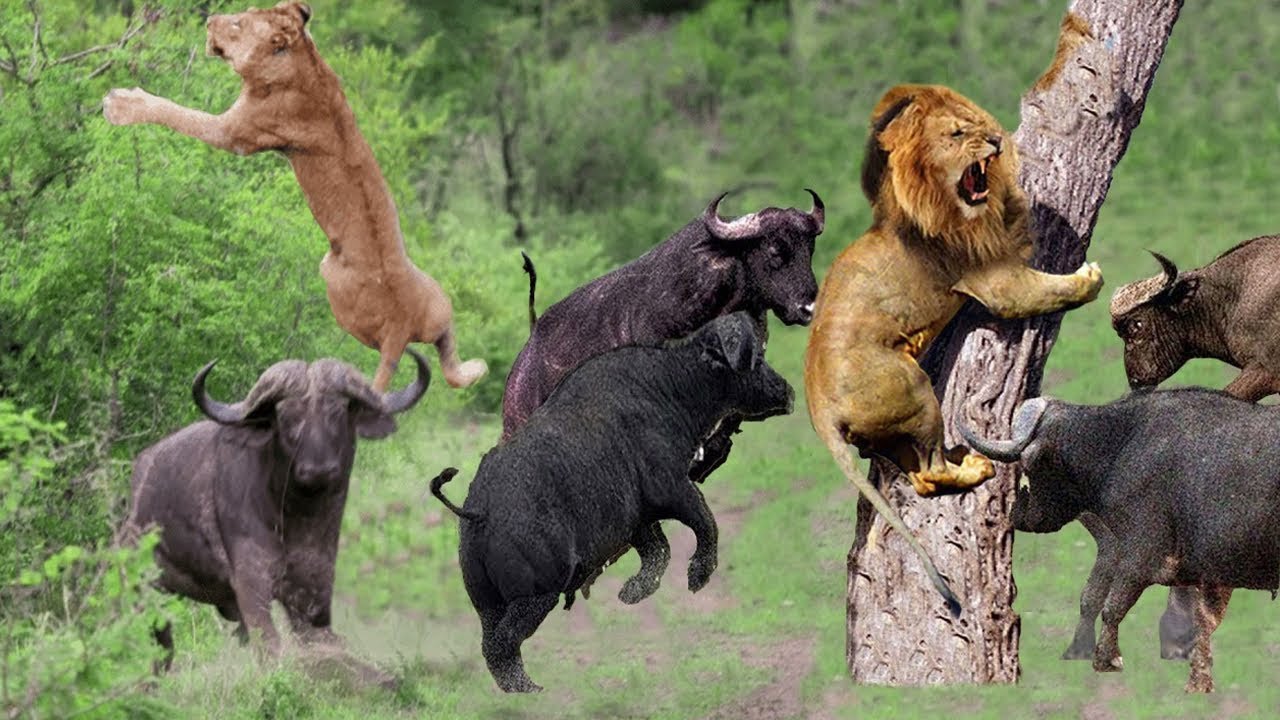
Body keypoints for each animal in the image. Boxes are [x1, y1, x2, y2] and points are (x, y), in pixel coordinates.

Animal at [101, 2, 486, 392]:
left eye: (238, 23)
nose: (209, 21)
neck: (301, 61)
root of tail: (401, 327)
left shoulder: (234, 132)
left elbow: (177, 113)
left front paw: (120, 104)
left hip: (335, 284)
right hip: (438, 304)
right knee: (447, 354)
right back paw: (476, 368)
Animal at [432, 313, 794, 692]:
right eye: (756, 358)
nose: (788, 390)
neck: (671, 387)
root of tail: (479, 511)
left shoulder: (635, 518)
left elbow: (658, 550)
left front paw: (631, 594)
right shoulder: (671, 486)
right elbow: (704, 523)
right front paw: (696, 579)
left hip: (486, 604)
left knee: (490, 643)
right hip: (534, 595)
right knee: (502, 644)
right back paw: (533, 690)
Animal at [804, 84, 1104, 613]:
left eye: (977, 124)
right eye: (958, 133)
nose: (995, 140)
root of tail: (817, 406)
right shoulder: (999, 283)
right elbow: (1048, 289)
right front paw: (1088, 277)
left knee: (917, 476)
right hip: (917, 393)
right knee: (932, 472)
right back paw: (976, 465)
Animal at [962, 389, 1280, 693]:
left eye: (1031, 469)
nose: (1021, 516)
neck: (1120, 445)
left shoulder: (1140, 556)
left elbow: (1113, 606)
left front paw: (1106, 659)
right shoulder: (1114, 552)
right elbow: (1091, 597)